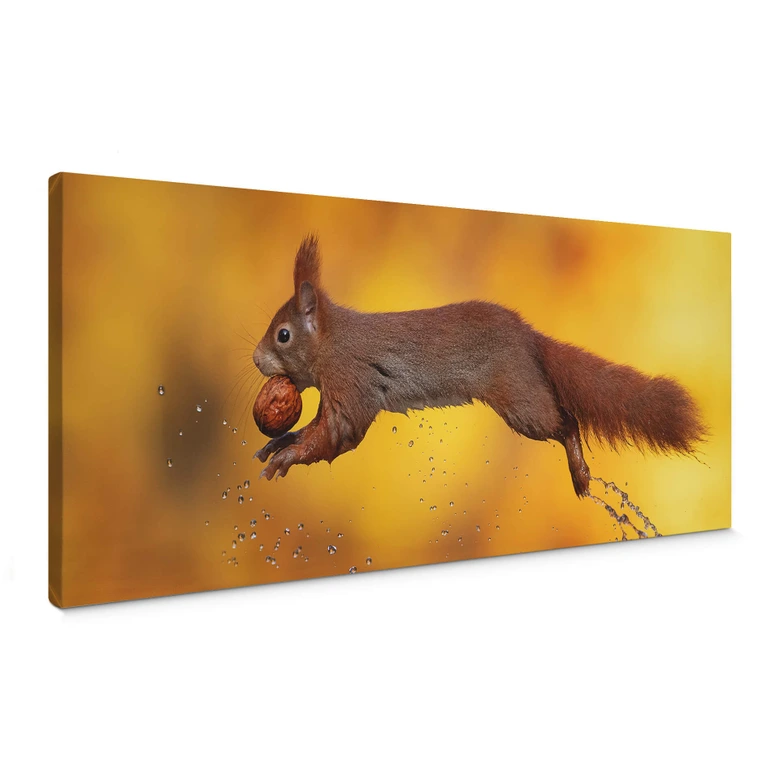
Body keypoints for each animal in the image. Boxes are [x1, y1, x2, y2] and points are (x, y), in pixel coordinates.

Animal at [253, 235, 705, 497]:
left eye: (283, 335)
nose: (256, 359)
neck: (333, 342)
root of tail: (529, 338)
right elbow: (314, 430)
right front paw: (280, 443)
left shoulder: (351, 383)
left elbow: (336, 435)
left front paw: (289, 457)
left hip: (520, 400)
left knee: (566, 423)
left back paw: (579, 471)